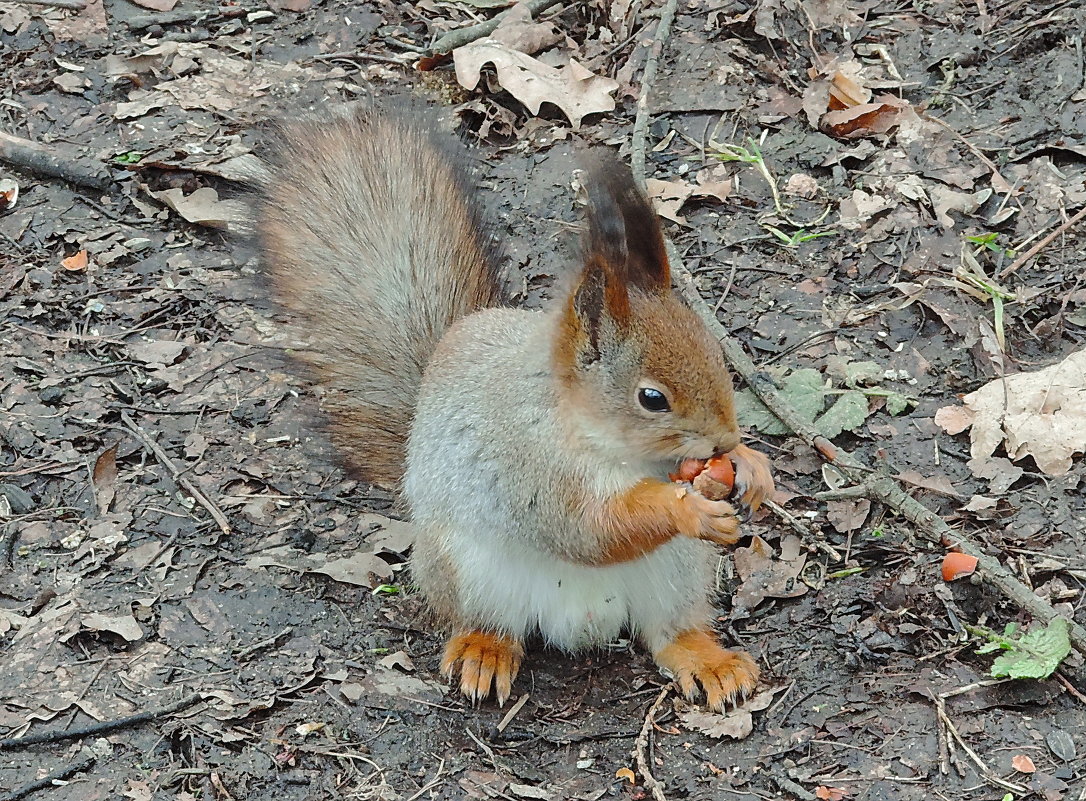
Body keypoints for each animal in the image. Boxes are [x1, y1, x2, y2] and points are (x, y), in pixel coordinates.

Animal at [258, 103, 777, 707]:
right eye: (652, 398)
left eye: (717, 356)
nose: (723, 441)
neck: (599, 439)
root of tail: (585, 624)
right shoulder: (530, 463)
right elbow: (589, 528)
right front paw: (685, 508)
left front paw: (751, 466)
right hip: (469, 570)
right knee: (493, 622)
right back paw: (484, 651)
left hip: (677, 571)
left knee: (670, 631)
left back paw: (710, 662)